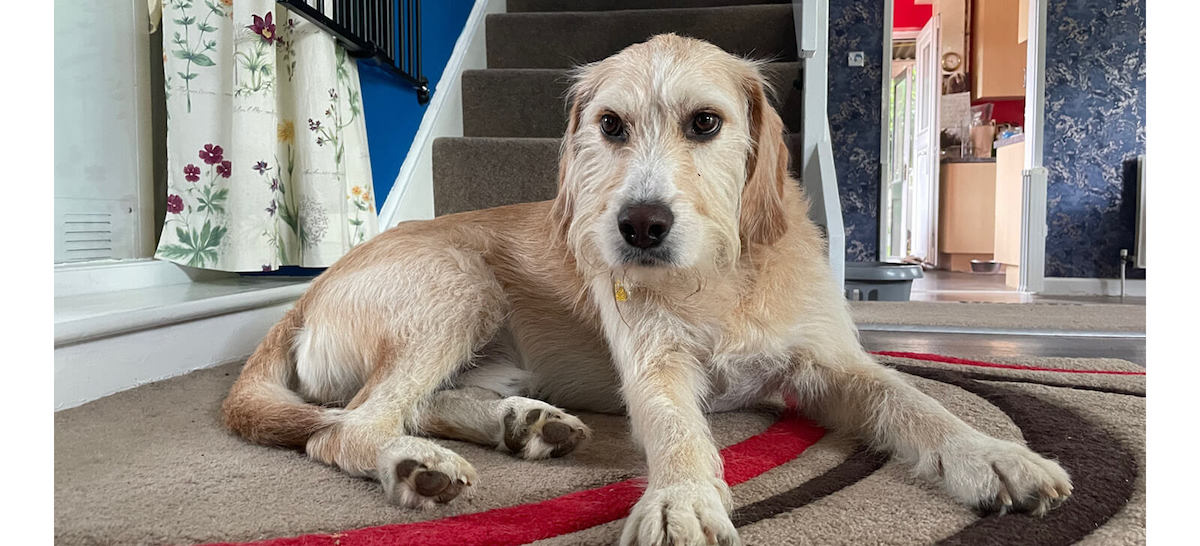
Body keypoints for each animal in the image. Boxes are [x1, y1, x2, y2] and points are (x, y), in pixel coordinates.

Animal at [220, 35, 1075, 546]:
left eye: (705, 123)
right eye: (608, 126)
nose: (639, 226)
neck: (721, 273)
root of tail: (305, 297)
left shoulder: (832, 365)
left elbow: (919, 404)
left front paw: (997, 457)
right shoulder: (656, 368)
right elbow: (675, 429)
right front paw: (685, 499)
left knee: (415, 403)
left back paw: (523, 424)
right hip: (457, 283)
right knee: (349, 425)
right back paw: (412, 463)